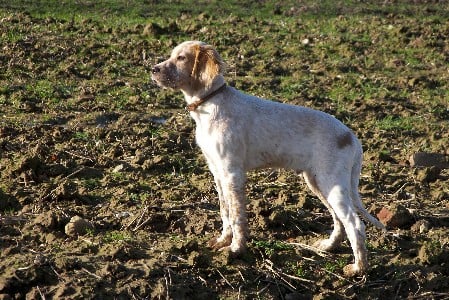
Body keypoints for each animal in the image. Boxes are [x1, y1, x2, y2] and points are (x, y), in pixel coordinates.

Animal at [152, 41, 384, 276]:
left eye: (181, 58)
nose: (153, 69)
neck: (210, 104)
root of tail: (351, 136)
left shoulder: (232, 173)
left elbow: (236, 215)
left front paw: (235, 249)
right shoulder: (217, 171)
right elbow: (225, 210)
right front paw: (223, 241)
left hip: (332, 182)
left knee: (355, 224)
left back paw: (358, 268)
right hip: (318, 181)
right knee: (339, 219)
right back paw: (328, 246)